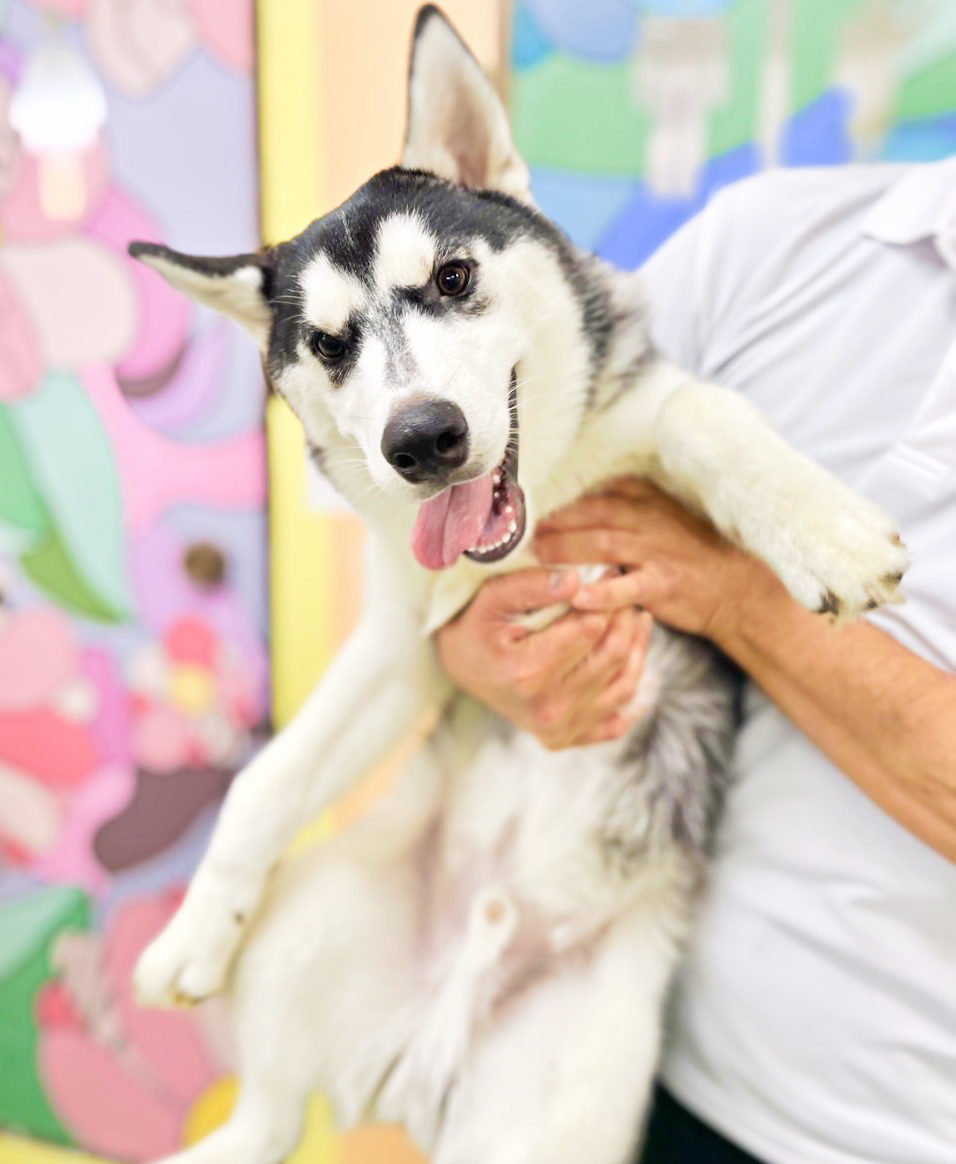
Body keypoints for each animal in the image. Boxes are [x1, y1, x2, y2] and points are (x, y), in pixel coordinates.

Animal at [128, 8, 908, 1163]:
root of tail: (428, 1047)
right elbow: (264, 781)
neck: (538, 510)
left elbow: (703, 417)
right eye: (328, 344)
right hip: (306, 937)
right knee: (264, 1120)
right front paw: (191, 934)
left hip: (553, 1099)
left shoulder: (652, 418)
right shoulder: (407, 647)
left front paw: (823, 531)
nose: (421, 440)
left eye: (452, 279)